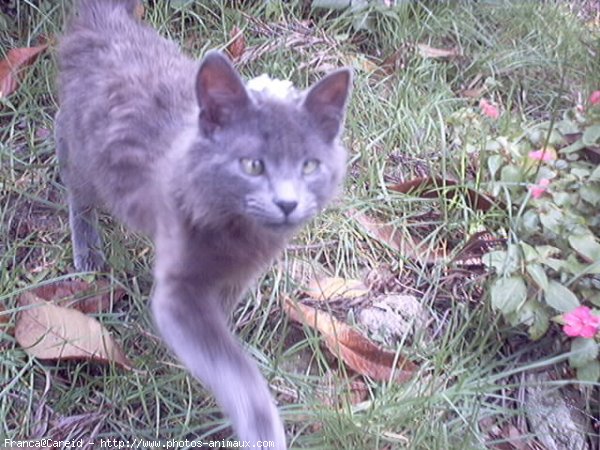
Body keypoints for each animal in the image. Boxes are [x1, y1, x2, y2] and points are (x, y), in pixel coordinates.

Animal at [56, 0, 352, 446]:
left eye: (310, 166)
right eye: (253, 165)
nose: (287, 202)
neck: (240, 237)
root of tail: (106, 20)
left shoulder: (240, 277)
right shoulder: (179, 289)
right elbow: (230, 365)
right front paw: (262, 429)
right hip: (83, 147)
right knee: (75, 182)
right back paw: (87, 249)